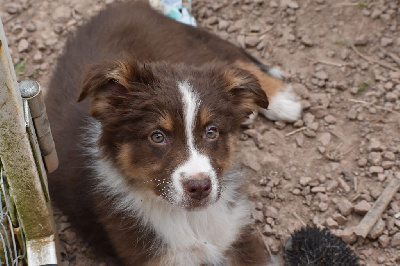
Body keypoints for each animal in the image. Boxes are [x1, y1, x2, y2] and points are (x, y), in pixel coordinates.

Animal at [46, 1, 300, 264]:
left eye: (211, 132)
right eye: (157, 137)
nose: (199, 187)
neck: (187, 219)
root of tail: (120, 7)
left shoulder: (235, 234)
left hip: (190, 49)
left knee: (231, 59)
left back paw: (281, 99)